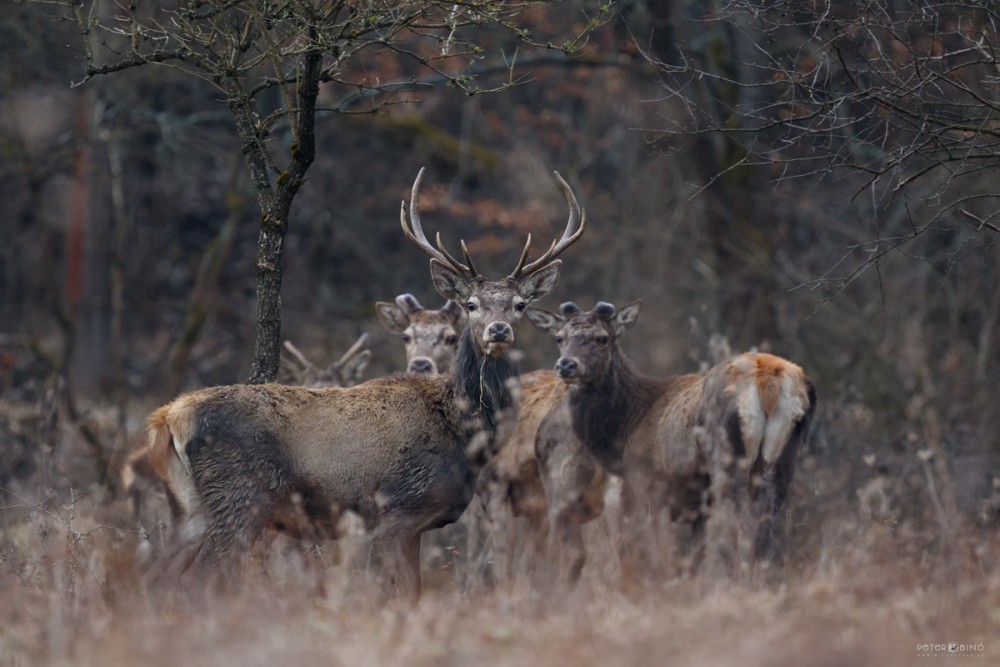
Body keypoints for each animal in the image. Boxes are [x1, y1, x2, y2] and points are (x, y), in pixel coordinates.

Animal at [144, 170, 584, 596]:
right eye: (471, 305)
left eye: (519, 305)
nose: (498, 330)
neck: (463, 433)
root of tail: (168, 417)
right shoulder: (398, 507)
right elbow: (391, 590)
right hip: (241, 494)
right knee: (206, 572)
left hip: (189, 506)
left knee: (159, 574)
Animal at [528, 300, 816, 572]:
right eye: (559, 337)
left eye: (602, 338)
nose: (566, 365)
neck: (627, 424)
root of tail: (770, 382)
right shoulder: (697, 507)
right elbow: (695, 557)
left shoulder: (650, 485)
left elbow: (660, 554)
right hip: (783, 461)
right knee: (765, 525)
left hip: (729, 458)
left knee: (744, 523)